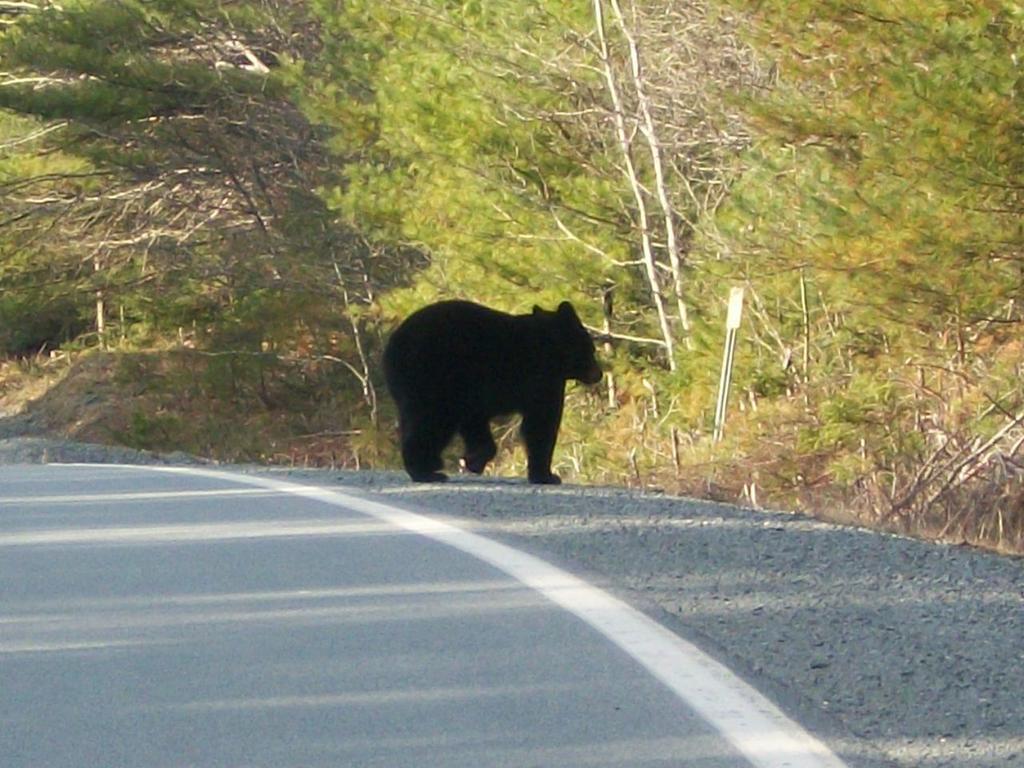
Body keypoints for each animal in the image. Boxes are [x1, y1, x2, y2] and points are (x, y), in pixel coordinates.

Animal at [387, 299, 602, 483]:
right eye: (591, 349)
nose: (599, 374)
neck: (550, 350)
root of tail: (394, 346)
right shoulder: (541, 381)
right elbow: (541, 423)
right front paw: (546, 476)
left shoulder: (472, 396)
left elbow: (475, 423)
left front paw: (473, 460)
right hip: (432, 379)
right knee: (431, 421)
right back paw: (425, 471)